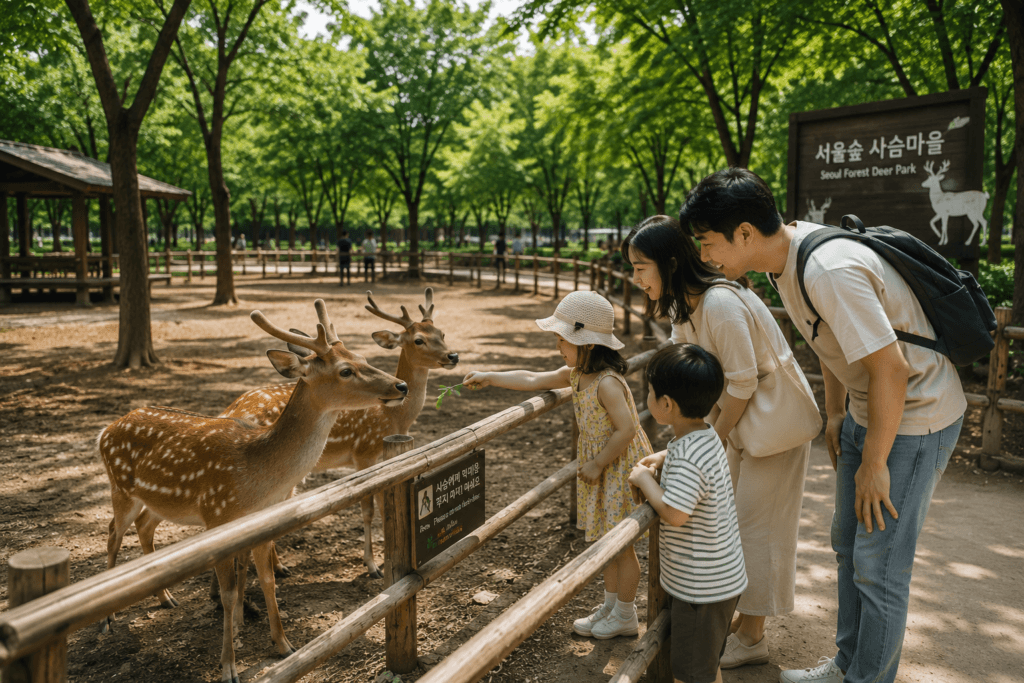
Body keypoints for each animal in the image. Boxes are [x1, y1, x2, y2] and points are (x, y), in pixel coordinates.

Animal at [96, 300, 408, 683]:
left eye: (363, 355)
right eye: (345, 370)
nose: (401, 385)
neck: (254, 477)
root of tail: (105, 431)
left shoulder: (261, 523)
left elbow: (268, 580)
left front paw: (285, 645)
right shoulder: (217, 518)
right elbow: (229, 594)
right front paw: (229, 666)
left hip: (157, 500)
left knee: (142, 527)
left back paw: (166, 598)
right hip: (120, 486)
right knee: (113, 533)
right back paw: (107, 620)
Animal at [218, 288, 459, 580]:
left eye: (442, 333)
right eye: (419, 340)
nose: (453, 356)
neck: (395, 420)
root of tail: (229, 410)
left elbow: (384, 505)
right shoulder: (364, 452)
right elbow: (368, 509)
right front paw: (373, 566)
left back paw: (278, 568)